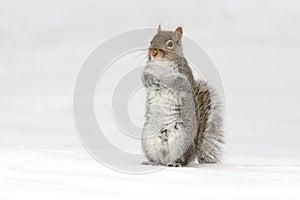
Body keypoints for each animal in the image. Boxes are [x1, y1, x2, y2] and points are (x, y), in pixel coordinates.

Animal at [142, 24, 224, 167]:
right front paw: (151, 80)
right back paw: (152, 163)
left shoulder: (184, 76)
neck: (162, 64)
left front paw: (164, 81)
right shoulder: (147, 69)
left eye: (170, 44)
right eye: (151, 41)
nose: (153, 52)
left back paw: (175, 163)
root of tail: (194, 150)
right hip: (148, 138)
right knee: (160, 160)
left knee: (183, 160)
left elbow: (177, 82)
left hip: (181, 139)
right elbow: (144, 77)